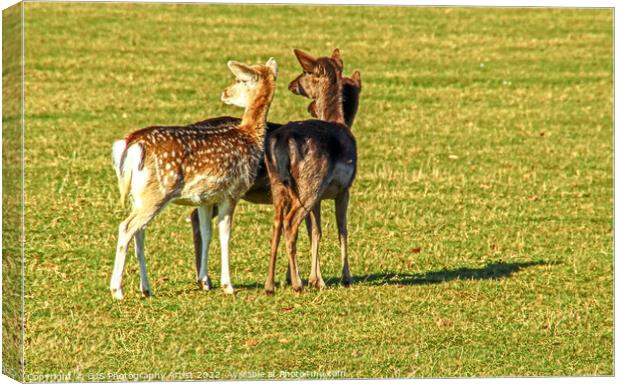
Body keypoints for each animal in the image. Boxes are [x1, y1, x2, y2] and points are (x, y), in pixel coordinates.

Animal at [110, 59, 278, 300]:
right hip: (157, 192)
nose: (225, 93)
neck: (249, 136)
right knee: (126, 227)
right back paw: (117, 290)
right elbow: (225, 235)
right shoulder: (232, 192)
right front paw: (228, 285)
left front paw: (205, 281)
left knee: (139, 232)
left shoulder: (205, 199)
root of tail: (133, 143)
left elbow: (206, 233)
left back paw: (146, 287)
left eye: (238, 80)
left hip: (138, 194)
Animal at [266, 48, 360, 294]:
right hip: (310, 182)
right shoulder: (344, 189)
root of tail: (282, 140)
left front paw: (317, 279)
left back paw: (270, 285)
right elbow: (342, 229)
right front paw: (345, 277)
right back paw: (297, 284)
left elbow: (316, 231)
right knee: (290, 223)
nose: (291, 84)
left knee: (277, 223)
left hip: (279, 184)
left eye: (304, 71)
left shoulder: (321, 197)